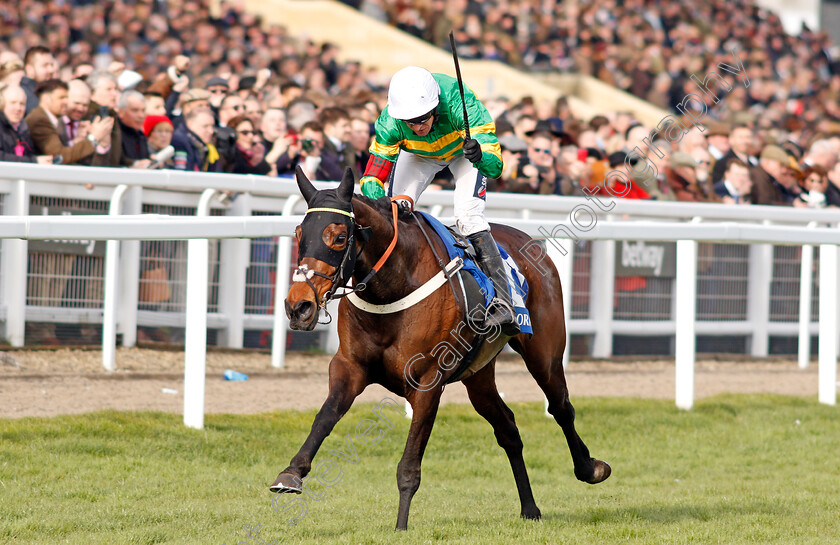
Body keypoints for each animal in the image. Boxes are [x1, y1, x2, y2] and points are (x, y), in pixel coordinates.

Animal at [272, 168, 608, 528]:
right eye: (298, 233)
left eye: (337, 237)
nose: (298, 306)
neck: (392, 285)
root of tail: (531, 244)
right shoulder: (349, 366)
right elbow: (326, 415)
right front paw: (291, 473)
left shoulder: (428, 381)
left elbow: (410, 465)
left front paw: (401, 526)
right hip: (478, 376)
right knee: (507, 428)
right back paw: (529, 508)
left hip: (544, 354)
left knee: (561, 407)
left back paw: (590, 468)